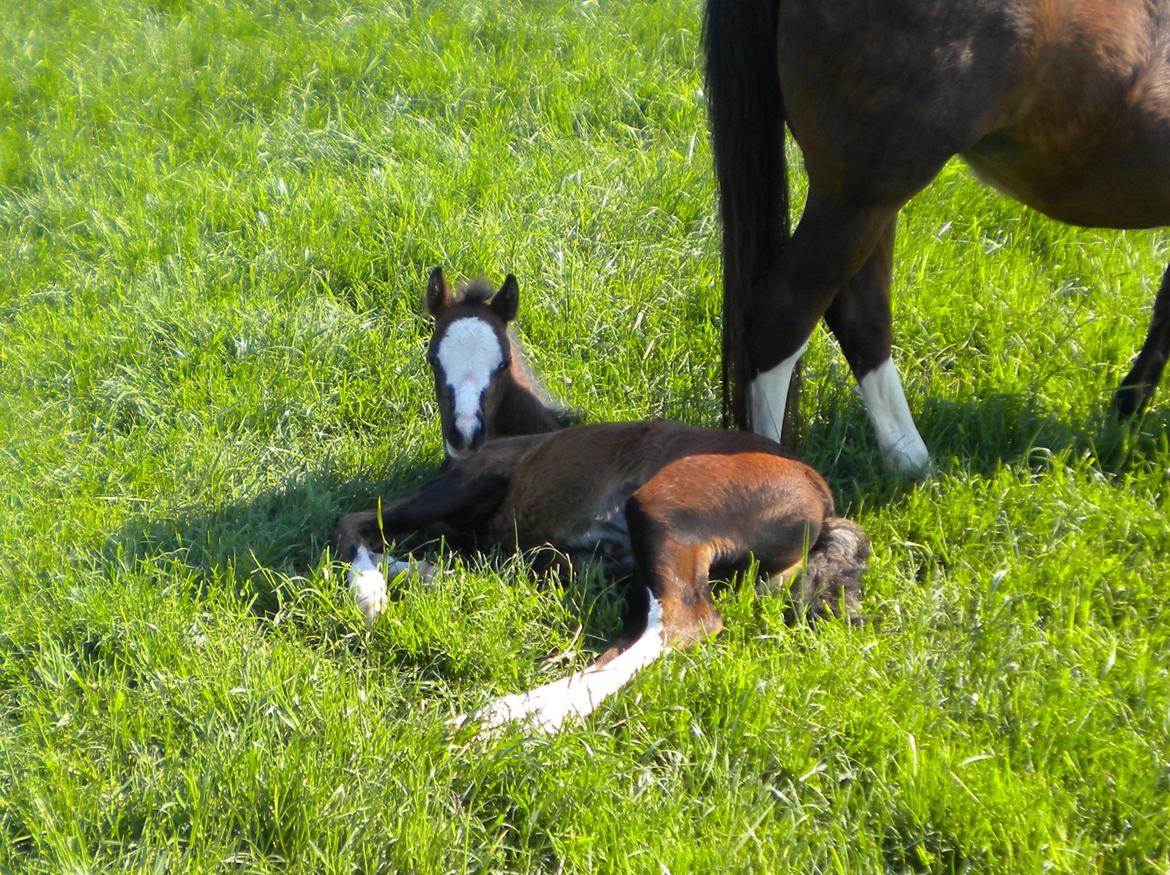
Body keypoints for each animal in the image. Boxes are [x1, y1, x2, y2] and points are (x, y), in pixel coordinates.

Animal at [332, 270, 870, 734]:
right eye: (433, 358)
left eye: (501, 363)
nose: (465, 435)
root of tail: (823, 499)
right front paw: (434, 574)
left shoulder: (474, 480)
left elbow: (352, 524)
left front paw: (372, 596)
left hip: (663, 512)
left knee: (682, 623)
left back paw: (507, 721)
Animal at [702, 0, 1170, 474]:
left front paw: (1127, 411)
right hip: (860, 197)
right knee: (783, 318)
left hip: (867, 201)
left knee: (860, 315)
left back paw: (910, 464)